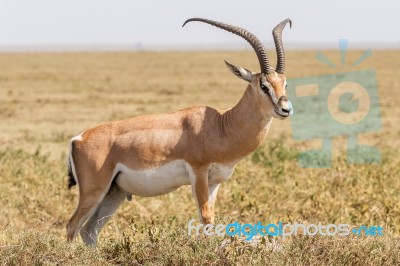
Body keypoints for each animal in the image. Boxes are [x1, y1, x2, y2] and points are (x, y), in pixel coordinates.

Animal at [66, 17, 294, 245]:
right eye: (263, 86)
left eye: (284, 83)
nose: (286, 109)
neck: (220, 126)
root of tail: (78, 139)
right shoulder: (198, 172)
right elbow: (206, 218)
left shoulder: (215, 182)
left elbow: (211, 218)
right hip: (94, 191)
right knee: (72, 226)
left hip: (114, 193)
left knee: (89, 231)